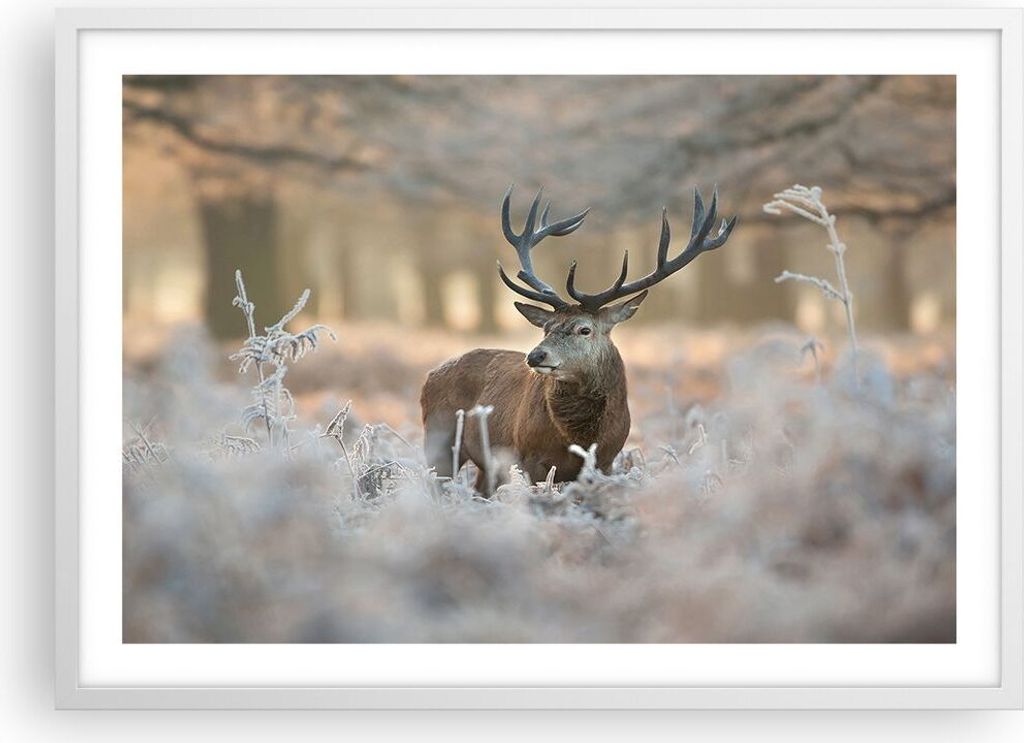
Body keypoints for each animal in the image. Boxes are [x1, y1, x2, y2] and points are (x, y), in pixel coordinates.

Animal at [421, 184, 737, 494]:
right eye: (546, 328)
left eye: (584, 329)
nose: (535, 355)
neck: (581, 438)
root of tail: (431, 374)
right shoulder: (529, 458)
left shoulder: (606, 461)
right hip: (438, 437)